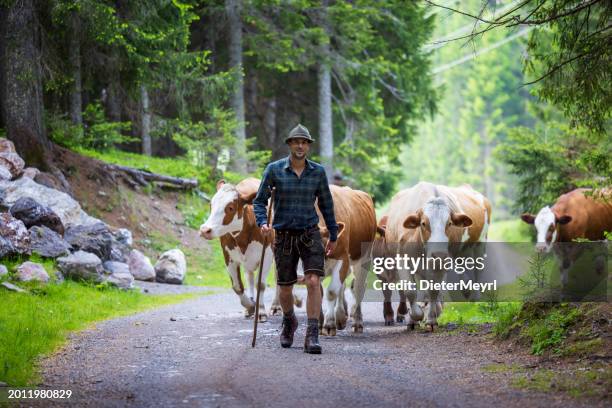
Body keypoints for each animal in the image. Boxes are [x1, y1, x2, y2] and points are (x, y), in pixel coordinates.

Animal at [378, 181, 492, 328]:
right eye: (423, 223)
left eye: (449, 223)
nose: (439, 254)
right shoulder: (403, 259)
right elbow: (410, 290)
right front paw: (416, 316)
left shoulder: (440, 263)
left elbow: (434, 290)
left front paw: (431, 318)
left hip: (480, 242)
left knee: (478, 269)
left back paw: (473, 297)